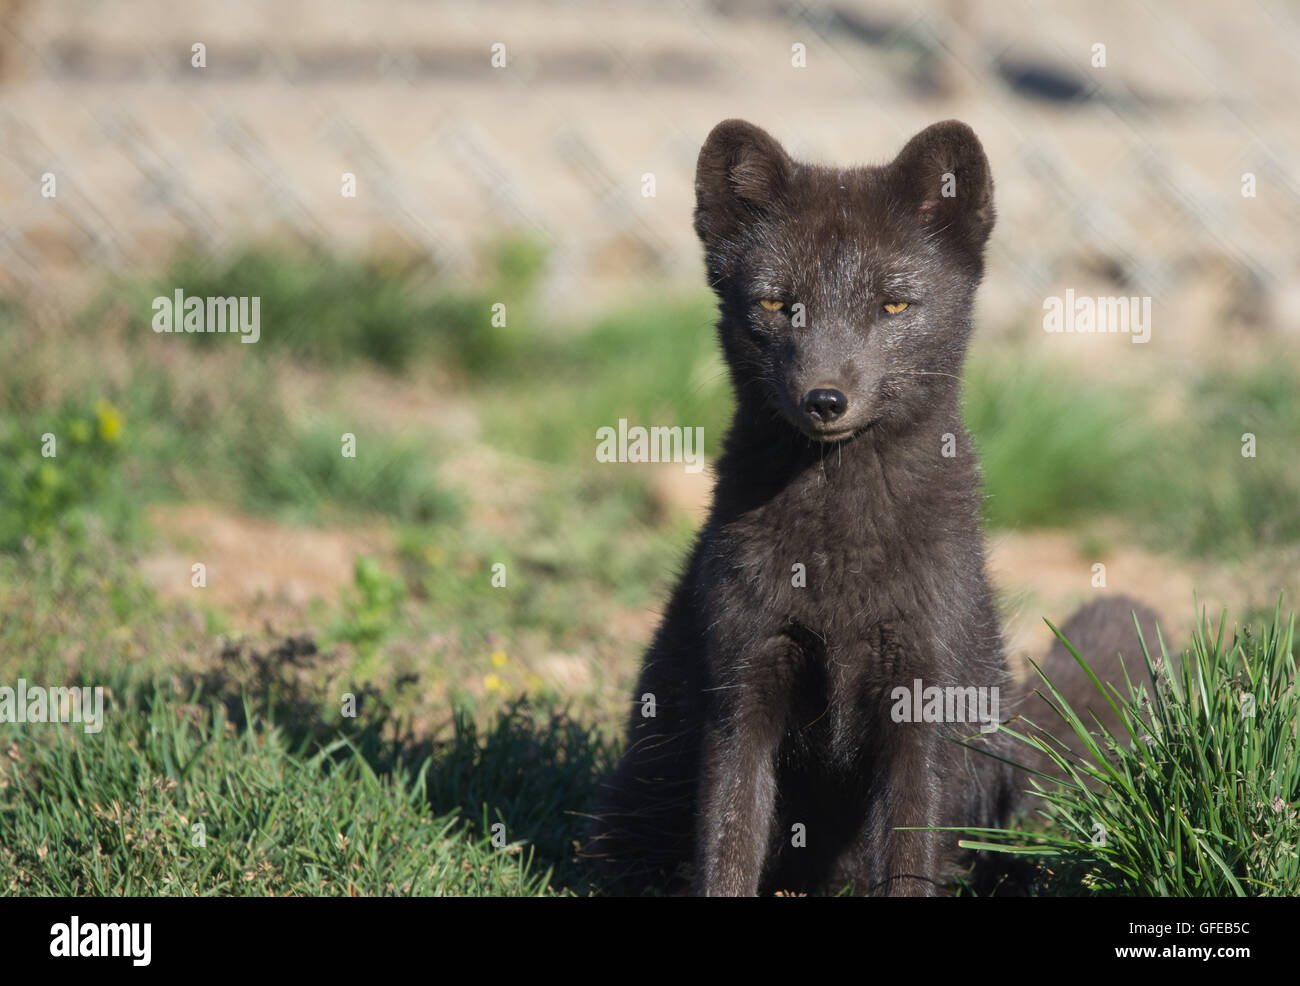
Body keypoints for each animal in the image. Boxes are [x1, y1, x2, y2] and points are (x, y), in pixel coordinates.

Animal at [585, 119, 1154, 900]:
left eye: (892, 305)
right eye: (776, 304)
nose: (825, 399)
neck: (837, 551)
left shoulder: (921, 703)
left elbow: (911, 851)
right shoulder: (743, 689)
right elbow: (728, 844)